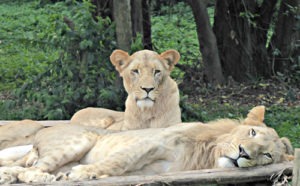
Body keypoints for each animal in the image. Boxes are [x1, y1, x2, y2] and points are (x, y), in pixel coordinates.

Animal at [0, 105, 294, 184]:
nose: (244, 154)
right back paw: (46, 177)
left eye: (267, 155)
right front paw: (84, 172)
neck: (206, 154)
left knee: (24, 168)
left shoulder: (157, 171)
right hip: (79, 140)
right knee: (33, 168)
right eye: (252, 132)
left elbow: (120, 167)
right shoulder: (152, 143)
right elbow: (118, 162)